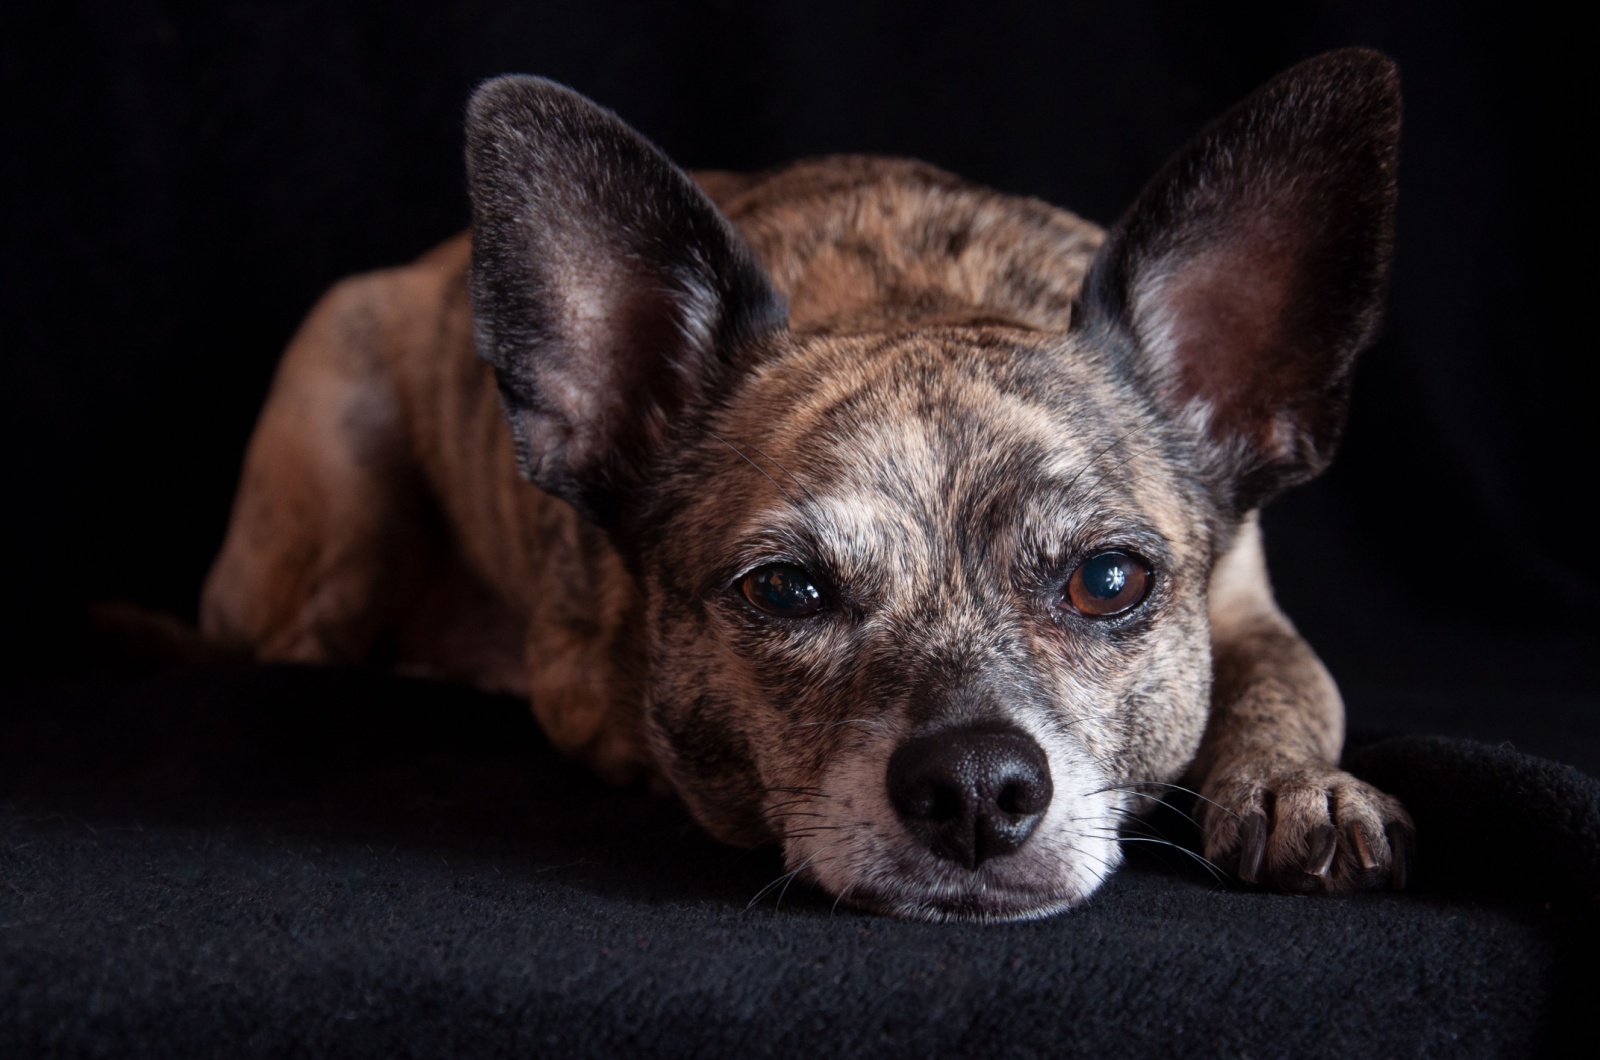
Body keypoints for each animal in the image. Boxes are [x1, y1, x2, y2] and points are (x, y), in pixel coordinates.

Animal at [200, 47, 1414, 922]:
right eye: (785, 591)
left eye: (1108, 581)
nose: (976, 785)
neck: (909, 289)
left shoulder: (1246, 604)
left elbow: (1287, 682)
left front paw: (1291, 781)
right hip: (338, 475)